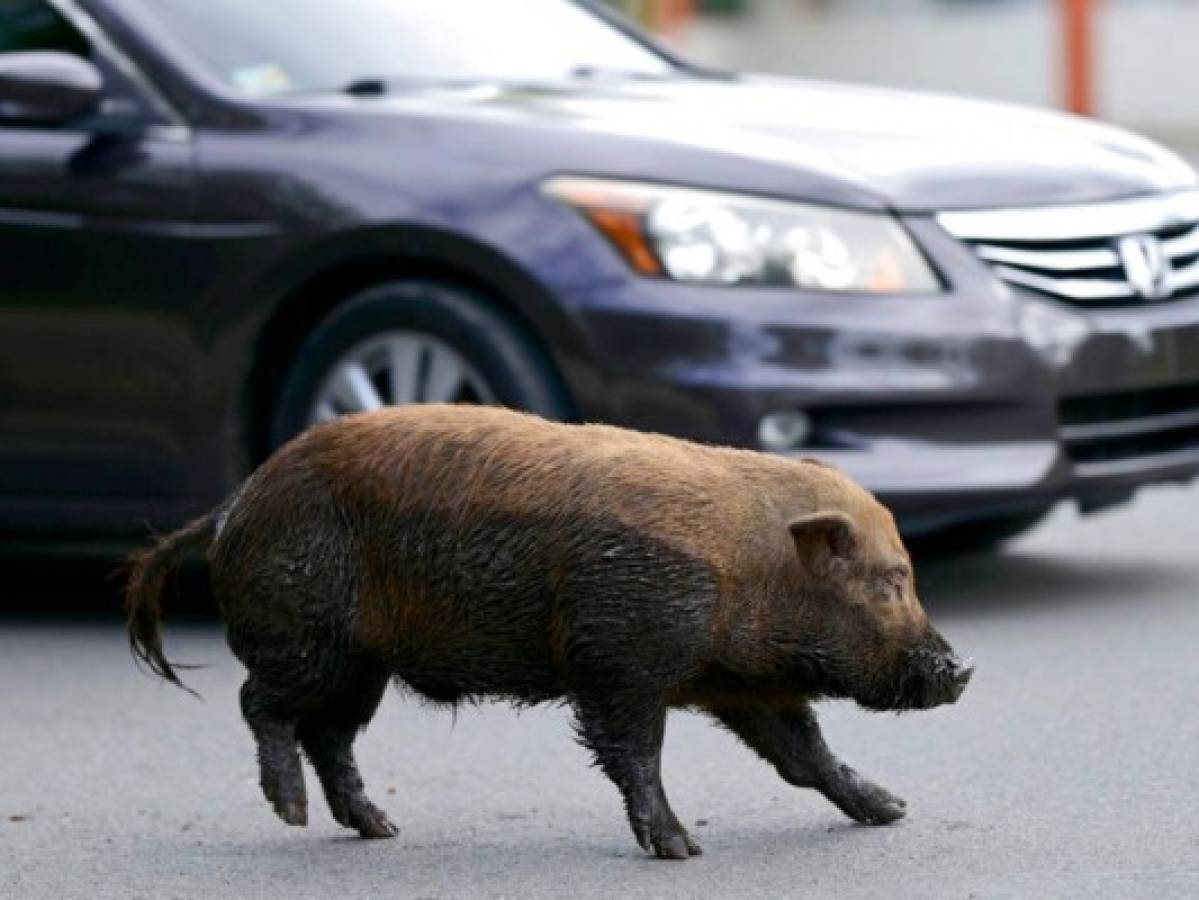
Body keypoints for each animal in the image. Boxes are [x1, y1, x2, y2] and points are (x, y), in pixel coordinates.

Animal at [126, 405, 973, 862]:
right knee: (259, 704)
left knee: (329, 736)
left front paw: (891, 810)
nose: (960, 670)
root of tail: (233, 505)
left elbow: (805, 756)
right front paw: (681, 851)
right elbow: (634, 755)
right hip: (305, 636)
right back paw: (293, 813)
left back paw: (382, 829)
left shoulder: (743, 685)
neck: (747, 569)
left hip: (360, 665)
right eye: (888, 581)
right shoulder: (620, 662)